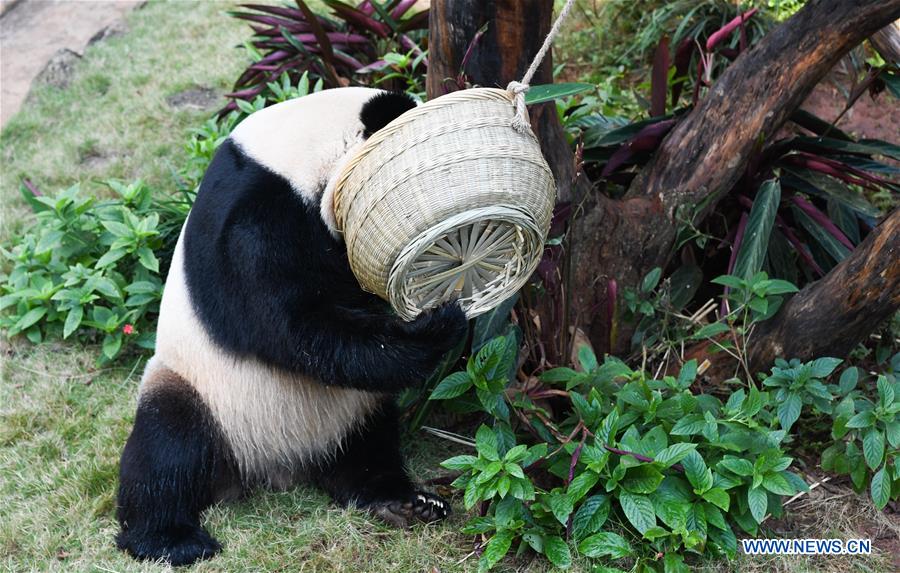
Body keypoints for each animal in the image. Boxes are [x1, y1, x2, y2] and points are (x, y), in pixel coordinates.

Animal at [115, 87, 469, 566]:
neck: (294, 149)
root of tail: (275, 467)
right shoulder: (255, 220)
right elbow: (296, 326)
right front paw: (437, 325)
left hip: (352, 411)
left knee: (368, 447)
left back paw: (402, 502)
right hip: (200, 391)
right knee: (167, 449)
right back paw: (170, 540)